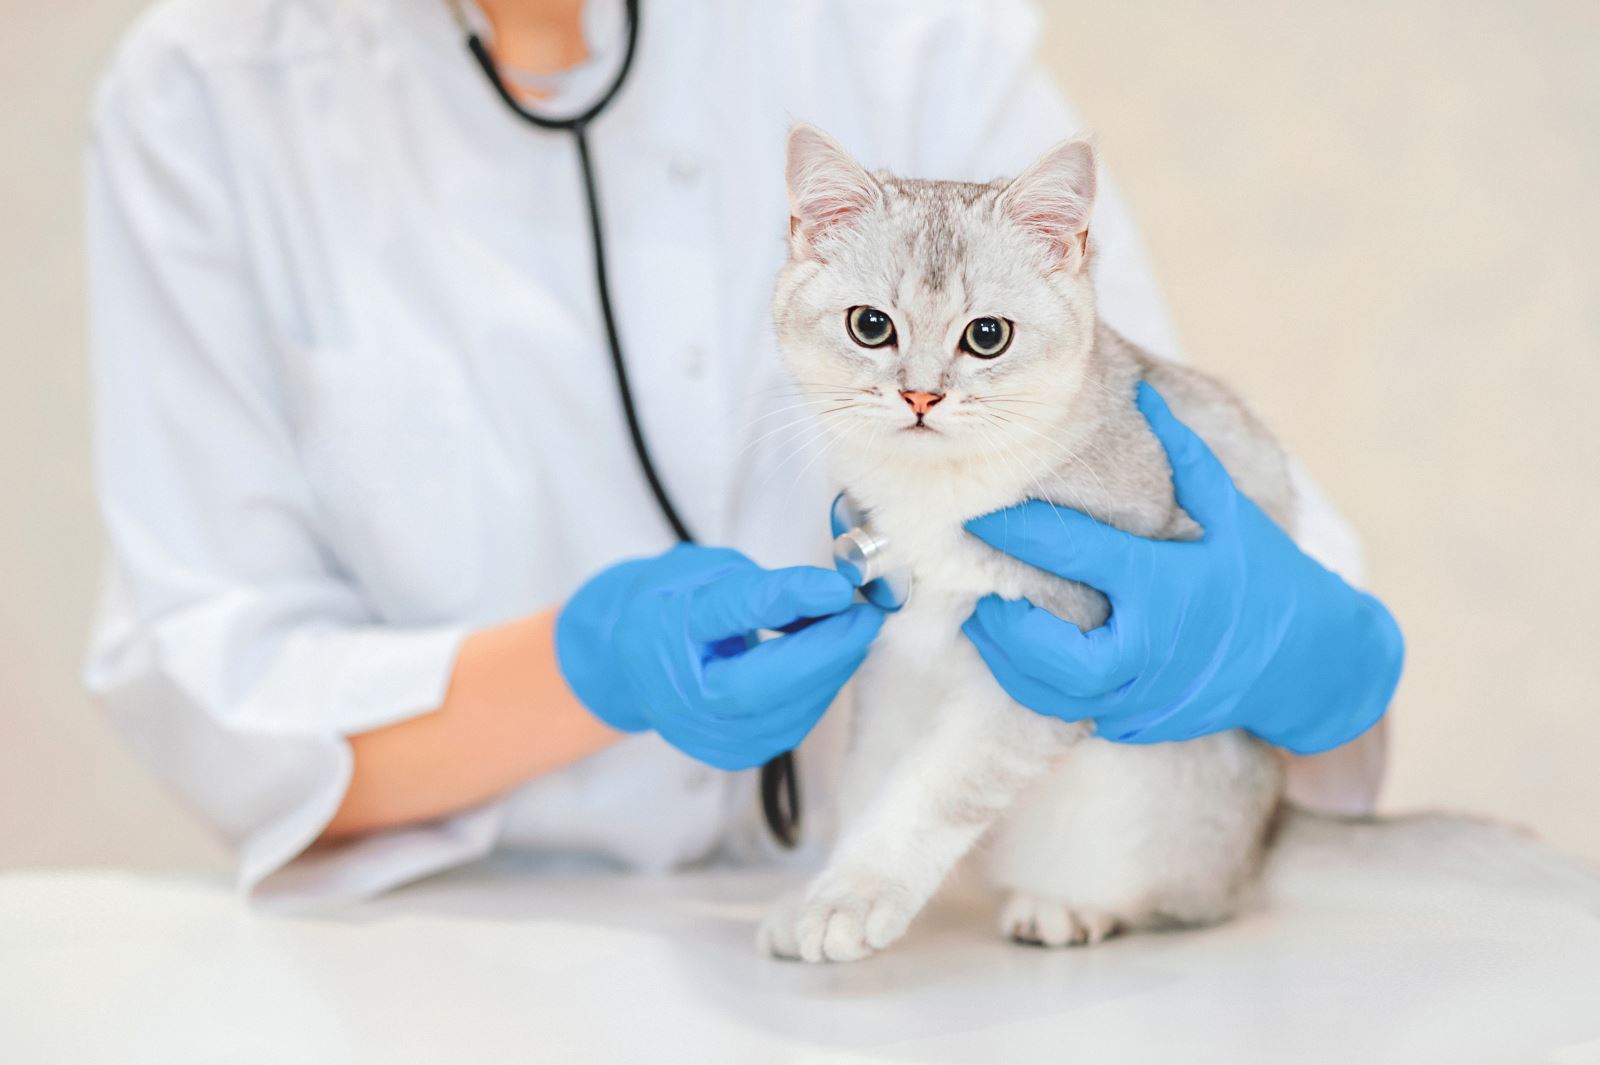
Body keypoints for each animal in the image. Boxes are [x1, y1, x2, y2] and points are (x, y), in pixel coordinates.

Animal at [758, 126, 1286, 959]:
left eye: (987, 336)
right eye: (870, 325)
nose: (920, 394)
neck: (938, 497)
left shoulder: (1053, 652)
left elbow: (931, 791)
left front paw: (853, 895)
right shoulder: (895, 659)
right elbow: (872, 782)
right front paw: (819, 890)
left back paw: (1065, 907)